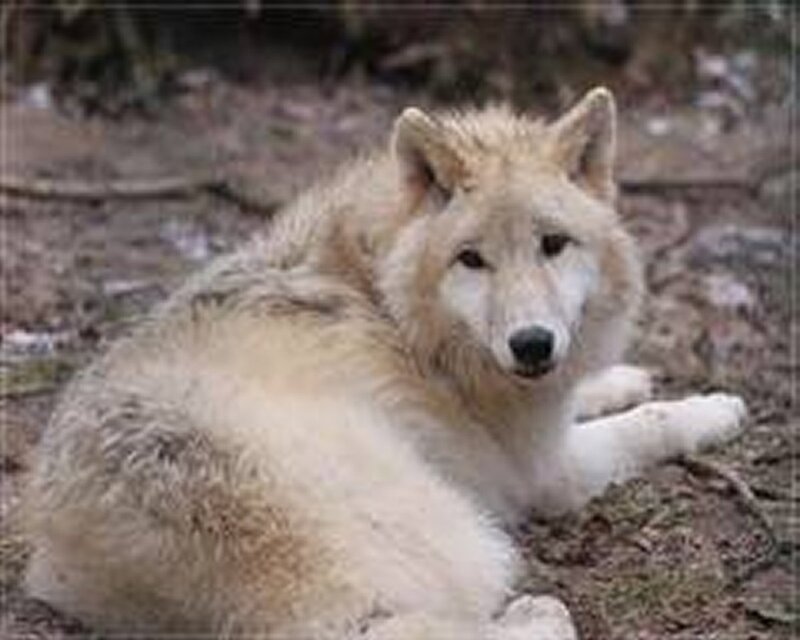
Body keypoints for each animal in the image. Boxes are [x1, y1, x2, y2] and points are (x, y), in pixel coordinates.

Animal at [24, 88, 746, 639]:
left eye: (553, 244)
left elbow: (594, 392)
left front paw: (626, 376)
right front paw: (716, 409)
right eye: (472, 259)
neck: (390, 297)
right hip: (464, 530)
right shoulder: (544, 471)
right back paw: (542, 613)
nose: (533, 344)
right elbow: (647, 425)